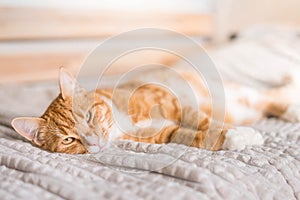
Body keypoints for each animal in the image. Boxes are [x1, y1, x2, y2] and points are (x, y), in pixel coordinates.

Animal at [10, 68, 300, 154]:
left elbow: (203, 121)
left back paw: (292, 109)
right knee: (268, 103)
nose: (93, 141)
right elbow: (192, 135)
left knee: (273, 96)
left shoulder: (173, 101)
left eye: (88, 117)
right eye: (69, 139)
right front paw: (235, 137)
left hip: (242, 96)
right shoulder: (161, 134)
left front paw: (244, 135)